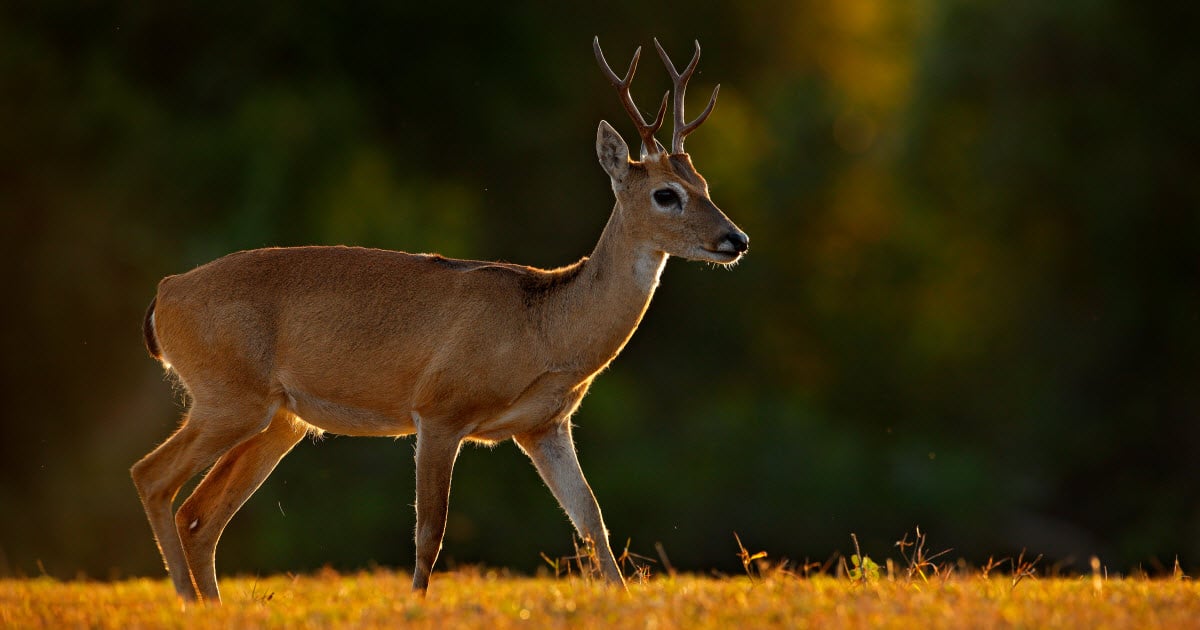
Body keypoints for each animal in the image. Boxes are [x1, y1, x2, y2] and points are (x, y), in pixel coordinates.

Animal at [131, 36, 748, 603]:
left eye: (705, 187)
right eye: (666, 194)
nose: (736, 238)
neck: (545, 331)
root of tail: (164, 294)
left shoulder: (544, 424)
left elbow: (592, 517)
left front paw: (621, 599)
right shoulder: (439, 409)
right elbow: (430, 530)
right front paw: (415, 604)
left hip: (279, 418)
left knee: (199, 514)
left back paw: (208, 602)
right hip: (229, 395)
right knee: (153, 477)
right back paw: (187, 600)